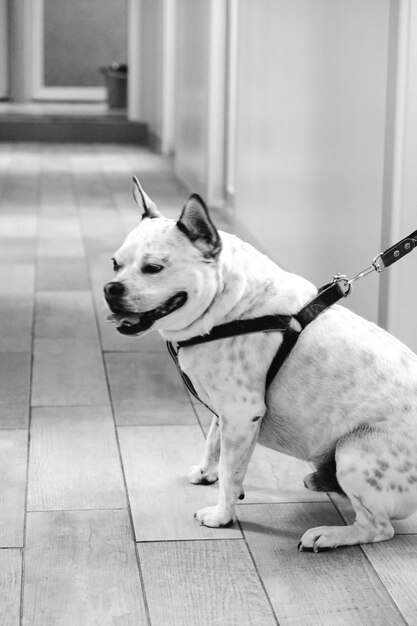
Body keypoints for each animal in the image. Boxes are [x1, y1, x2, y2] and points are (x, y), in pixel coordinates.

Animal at [103, 178, 416, 548]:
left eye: (153, 268)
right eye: (115, 264)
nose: (110, 288)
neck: (231, 307)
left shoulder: (241, 412)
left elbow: (230, 472)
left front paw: (221, 516)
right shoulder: (227, 412)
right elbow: (214, 443)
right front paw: (205, 473)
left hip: (354, 453)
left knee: (377, 528)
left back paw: (328, 535)